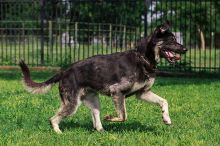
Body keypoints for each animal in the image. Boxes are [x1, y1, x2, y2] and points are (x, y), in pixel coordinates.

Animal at [19, 20, 187, 133]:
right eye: (172, 40)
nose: (185, 49)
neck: (143, 59)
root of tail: (64, 72)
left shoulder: (142, 93)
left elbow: (164, 101)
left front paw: (166, 118)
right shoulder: (117, 92)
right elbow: (123, 115)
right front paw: (111, 118)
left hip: (93, 102)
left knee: (95, 120)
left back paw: (102, 132)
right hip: (72, 104)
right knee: (53, 119)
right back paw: (58, 132)